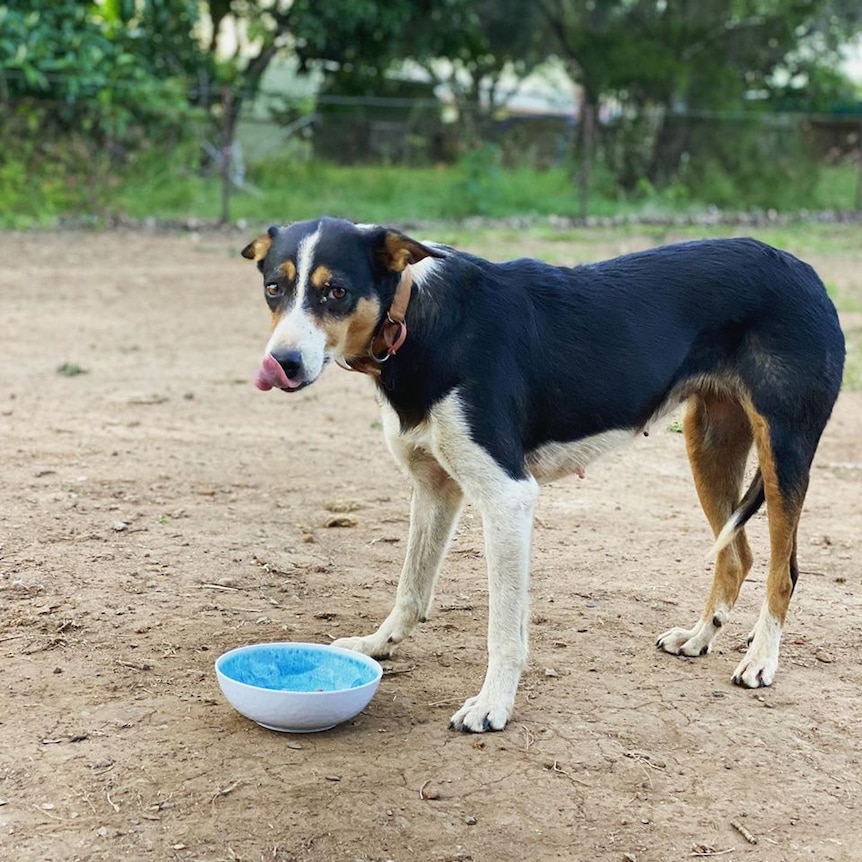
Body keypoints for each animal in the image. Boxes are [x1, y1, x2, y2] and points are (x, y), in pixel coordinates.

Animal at [240, 218, 848, 736]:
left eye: (336, 292)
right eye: (273, 288)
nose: (282, 363)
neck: (418, 320)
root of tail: (805, 271)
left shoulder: (507, 497)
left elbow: (504, 630)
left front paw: (492, 706)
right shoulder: (436, 489)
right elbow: (411, 587)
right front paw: (378, 644)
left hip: (784, 450)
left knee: (783, 570)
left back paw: (760, 660)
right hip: (709, 443)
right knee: (737, 554)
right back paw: (699, 637)